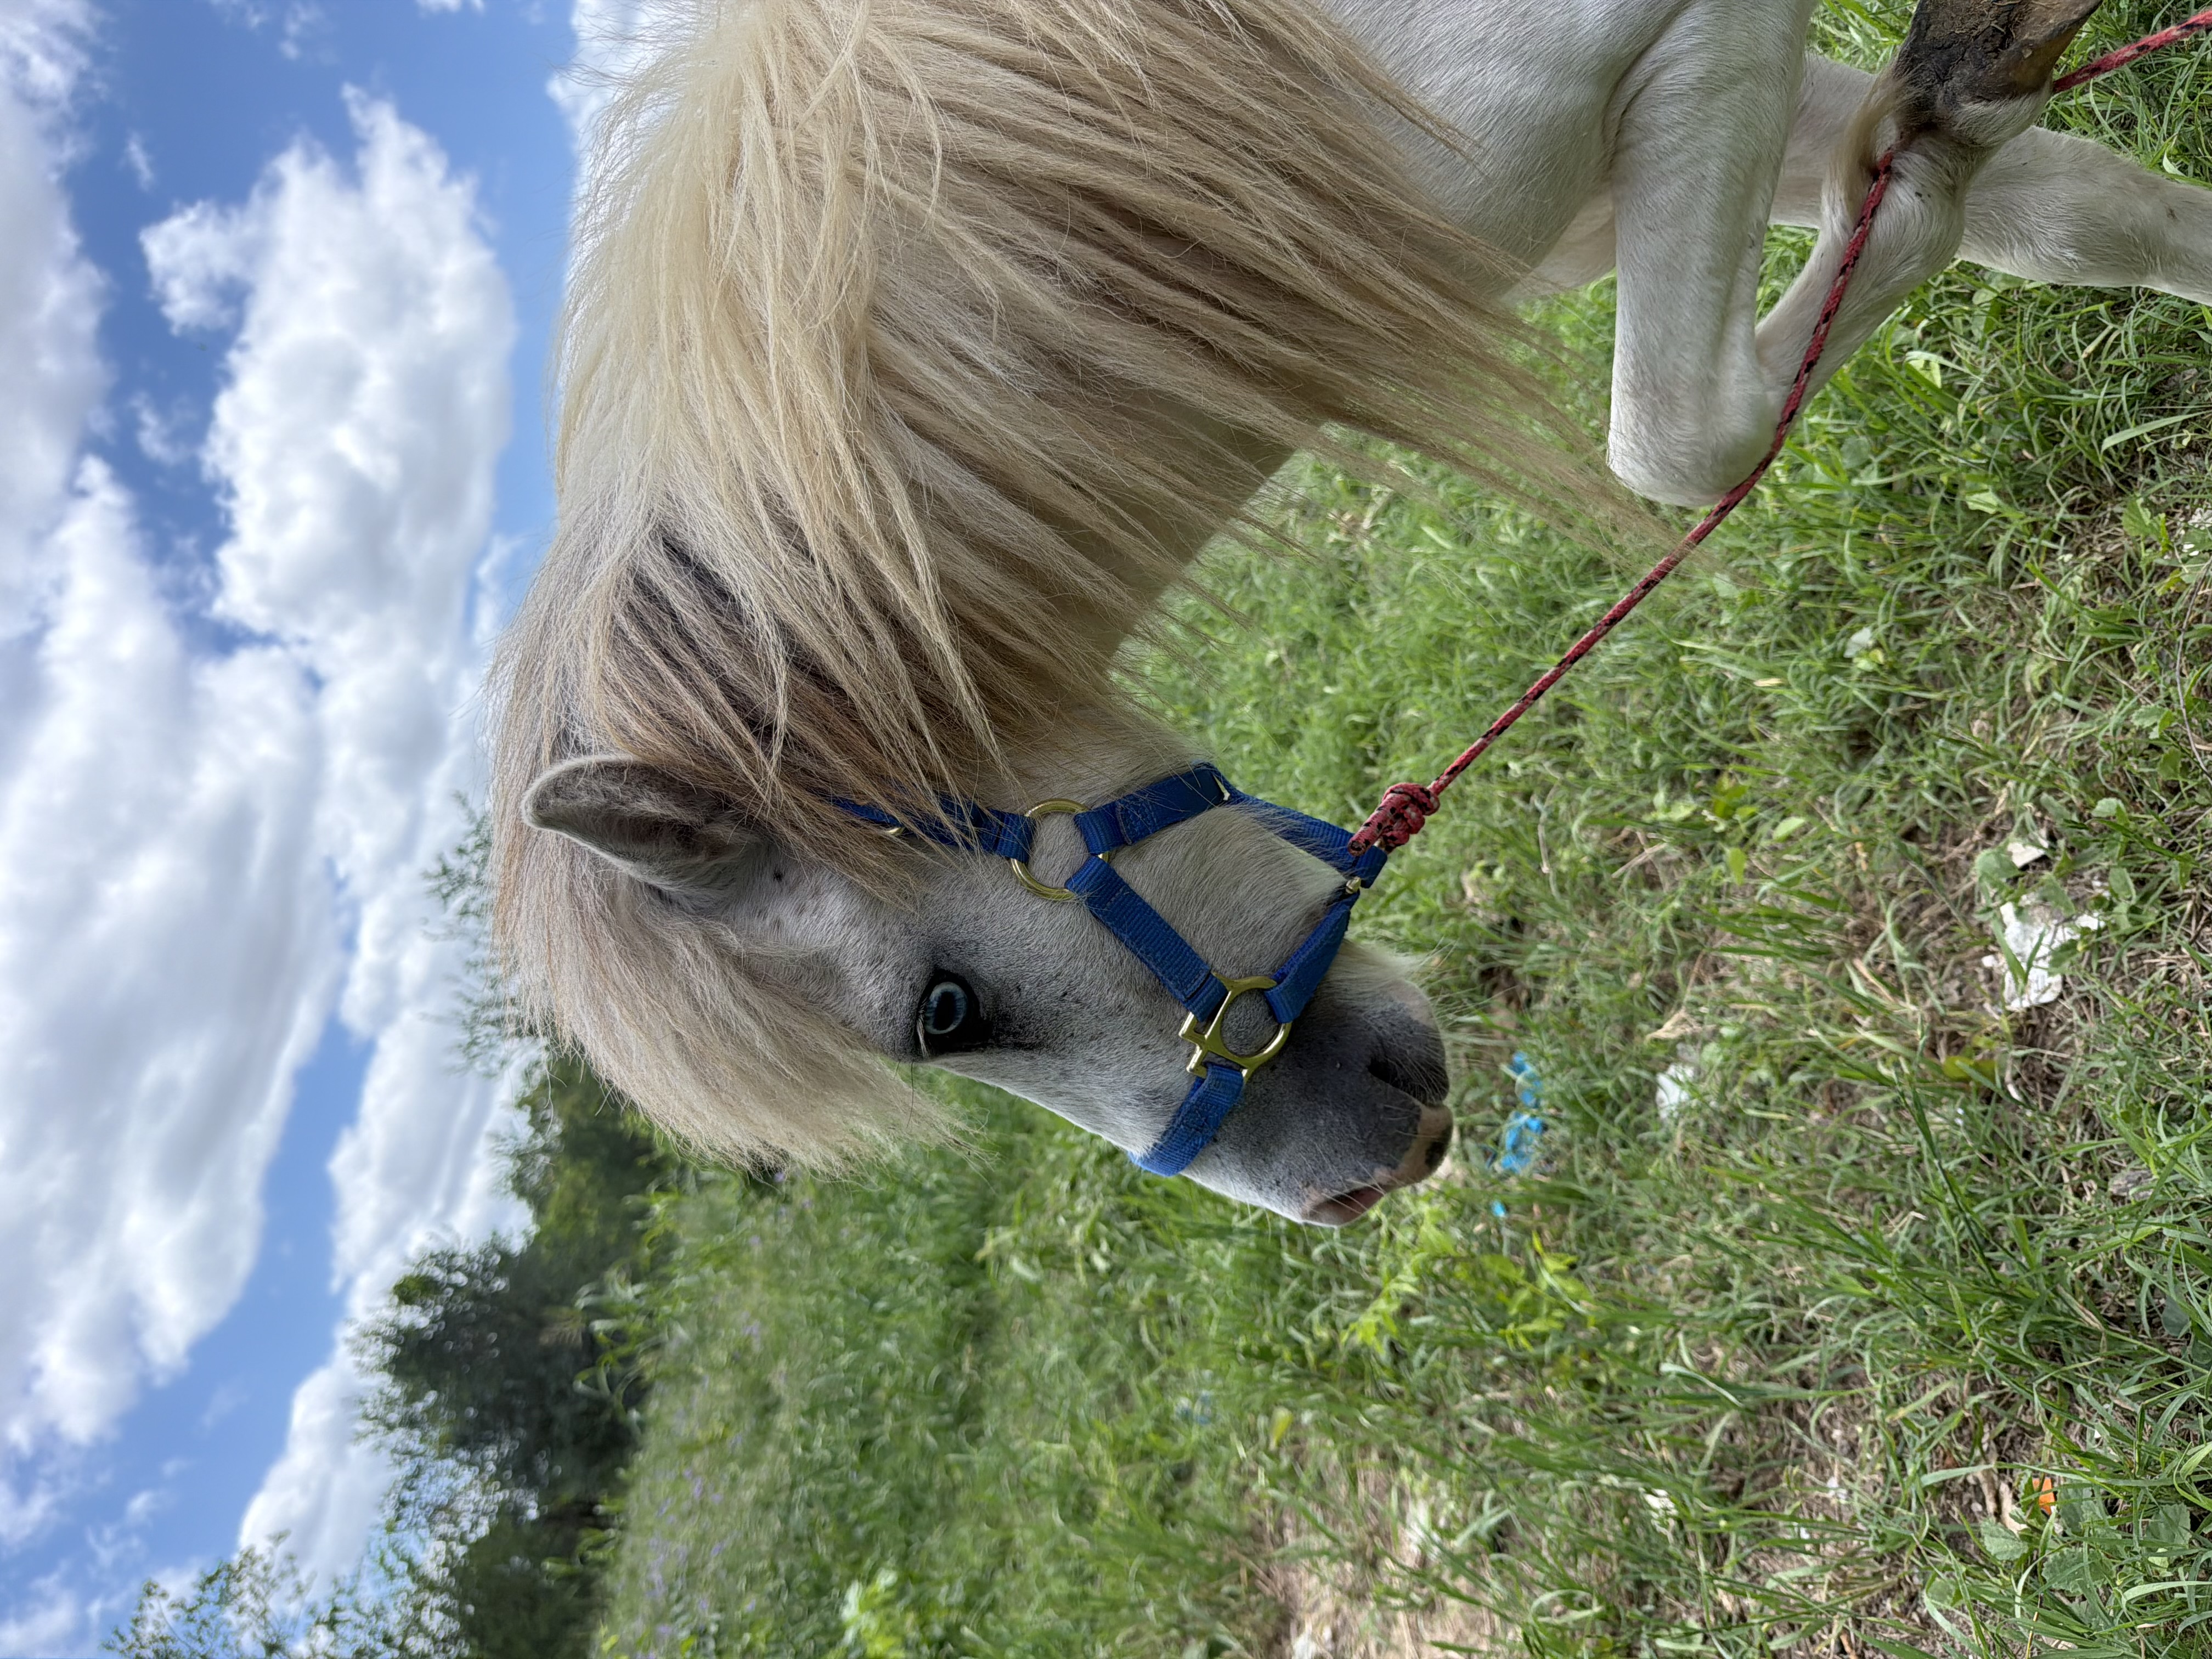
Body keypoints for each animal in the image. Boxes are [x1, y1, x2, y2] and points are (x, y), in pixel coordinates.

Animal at [492, 0, 2211, 1224]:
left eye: (945, 1012)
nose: (1349, 1190)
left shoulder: (1689, 48)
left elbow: (1677, 436)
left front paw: (1955, 86)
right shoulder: (1663, 127)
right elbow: (2077, 218)